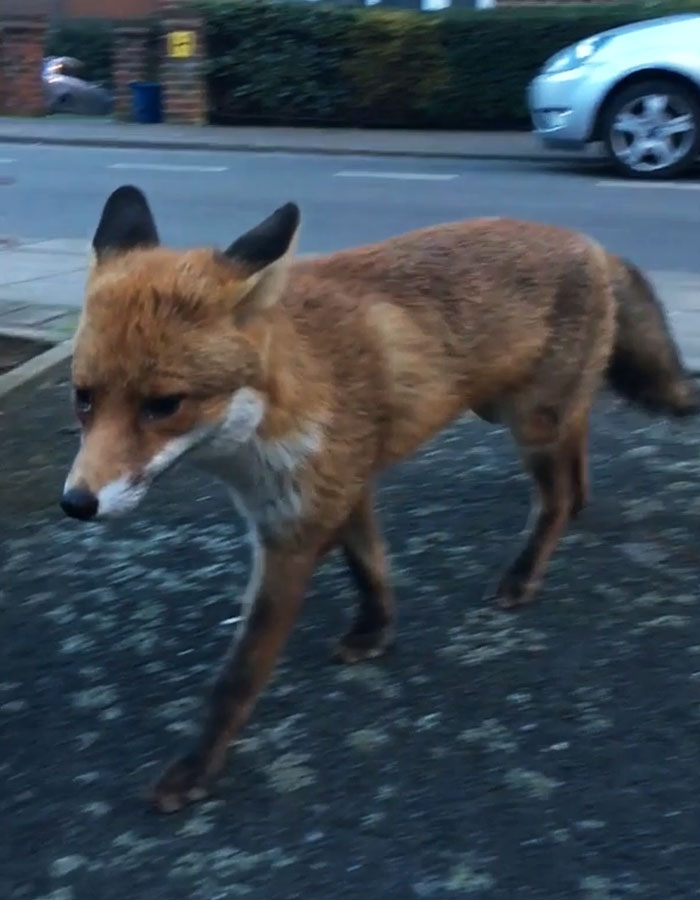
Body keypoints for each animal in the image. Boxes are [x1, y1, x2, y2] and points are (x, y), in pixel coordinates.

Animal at [61, 185, 699, 813]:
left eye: (164, 405)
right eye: (83, 397)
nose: (76, 503)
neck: (271, 418)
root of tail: (591, 244)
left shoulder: (295, 531)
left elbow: (237, 676)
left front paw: (196, 768)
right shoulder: (344, 486)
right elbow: (369, 567)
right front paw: (376, 631)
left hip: (529, 423)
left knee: (556, 496)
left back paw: (525, 569)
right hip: (517, 412)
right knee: (577, 447)